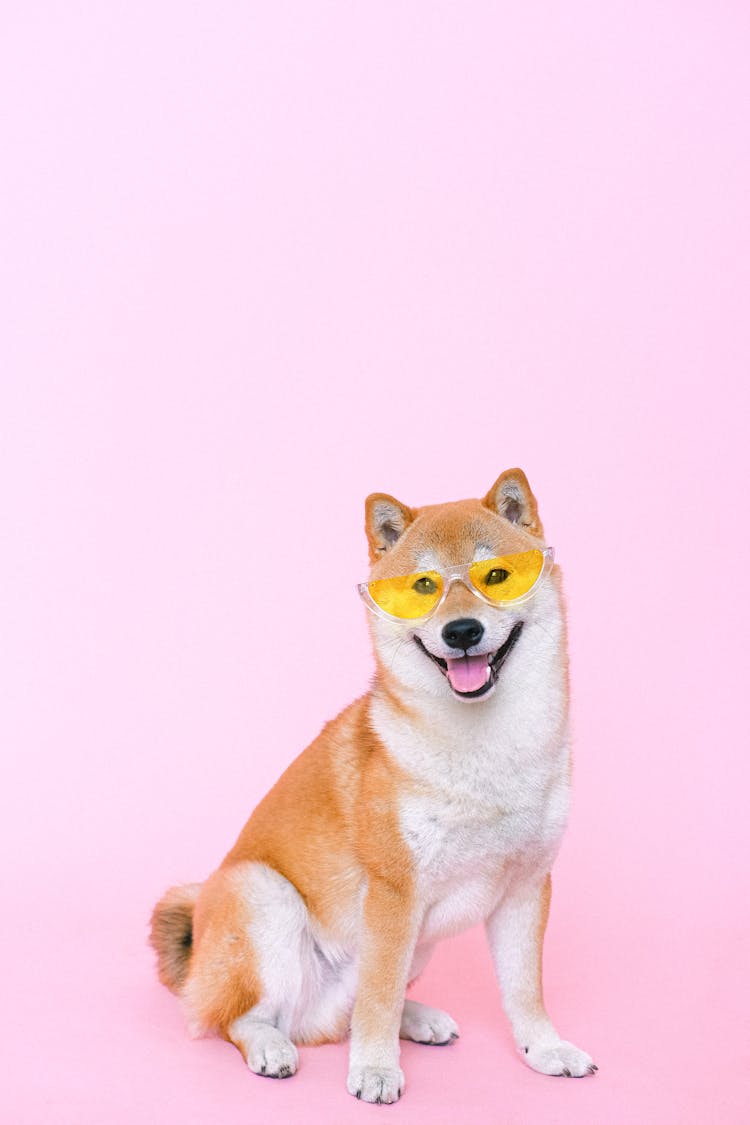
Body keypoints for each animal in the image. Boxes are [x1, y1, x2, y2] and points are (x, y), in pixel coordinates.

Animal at [150, 470, 598, 1102]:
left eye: (497, 577)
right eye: (422, 588)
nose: (462, 630)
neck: (484, 751)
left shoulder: (527, 886)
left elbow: (524, 990)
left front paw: (546, 1049)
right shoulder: (393, 892)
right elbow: (378, 1000)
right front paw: (376, 1070)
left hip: (416, 946)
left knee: (348, 1013)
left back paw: (419, 1018)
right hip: (264, 896)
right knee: (242, 1018)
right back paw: (270, 1044)